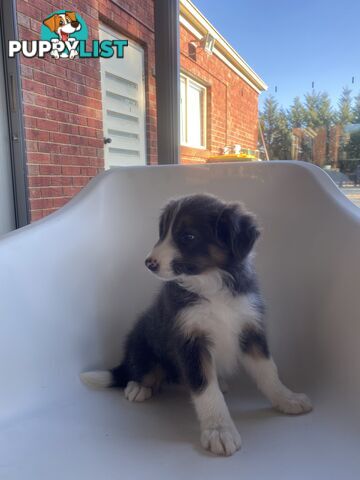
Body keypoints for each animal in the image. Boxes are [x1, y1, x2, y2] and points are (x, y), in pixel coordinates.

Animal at [80, 193, 310, 456]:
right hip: (142, 344)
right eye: (163, 233)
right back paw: (138, 387)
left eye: (188, 237)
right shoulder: (190, 341)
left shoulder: (250, 329)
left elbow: (268, 371)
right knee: (142, 370)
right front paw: (219, 430)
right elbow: (206, 390)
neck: (211, 283)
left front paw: (287, 399)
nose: (149, 263)